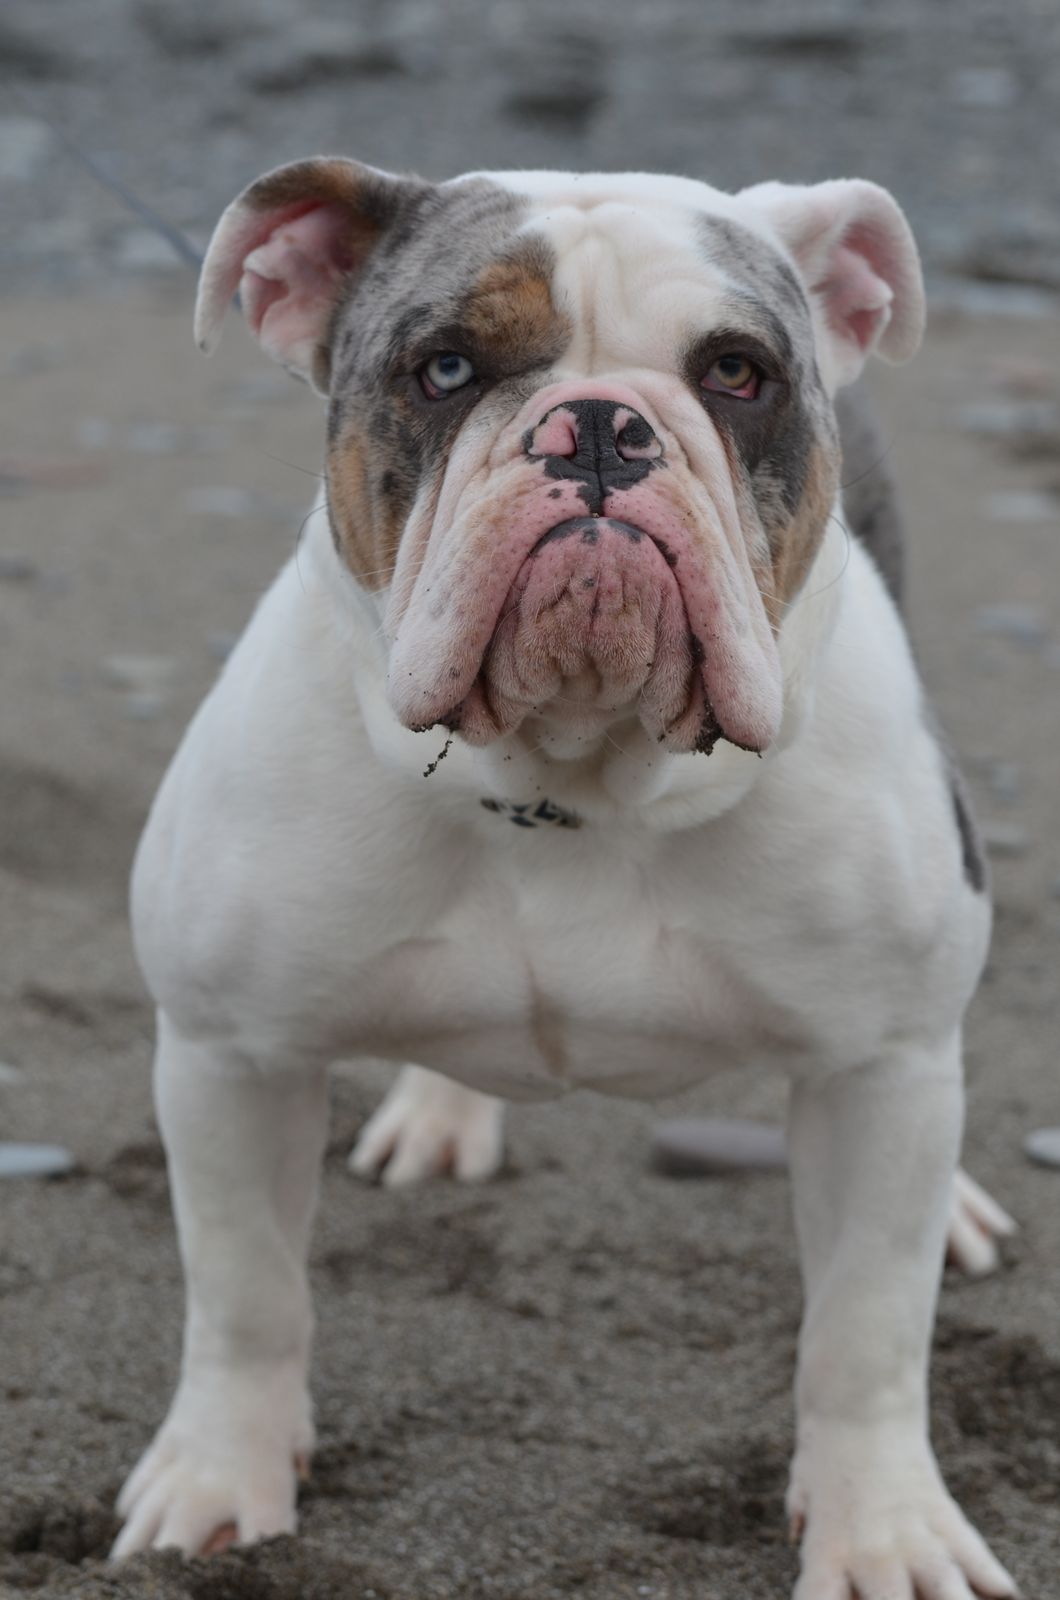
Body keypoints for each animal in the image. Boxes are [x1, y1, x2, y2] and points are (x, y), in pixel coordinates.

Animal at [112, 161, 1018, 1598]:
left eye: (738, 373)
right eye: (444, 367)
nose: (597, 427)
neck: (576, 775)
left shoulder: (879, 1072)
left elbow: (866, 1333)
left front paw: (885, 1532)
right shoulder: (226, 1056)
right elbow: (246, 1291)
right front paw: (218, 1478)